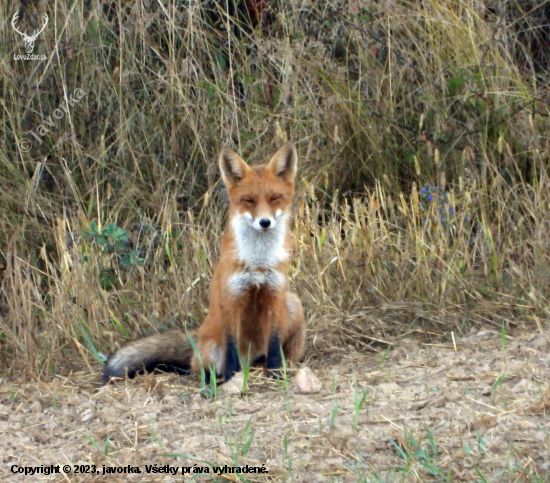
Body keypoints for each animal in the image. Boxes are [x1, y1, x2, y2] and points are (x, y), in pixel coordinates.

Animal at [103, 142, 308, 384]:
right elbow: (231, 349)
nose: (264, 222)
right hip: (210, 350)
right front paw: (232, 379)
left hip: (293, 302)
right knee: (200, 367)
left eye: (275, 198)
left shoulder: (275, 295)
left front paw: (275, 375)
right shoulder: (231, 298)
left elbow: (275, 344)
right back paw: (214, 379)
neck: (257, 262)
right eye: (249, 200)